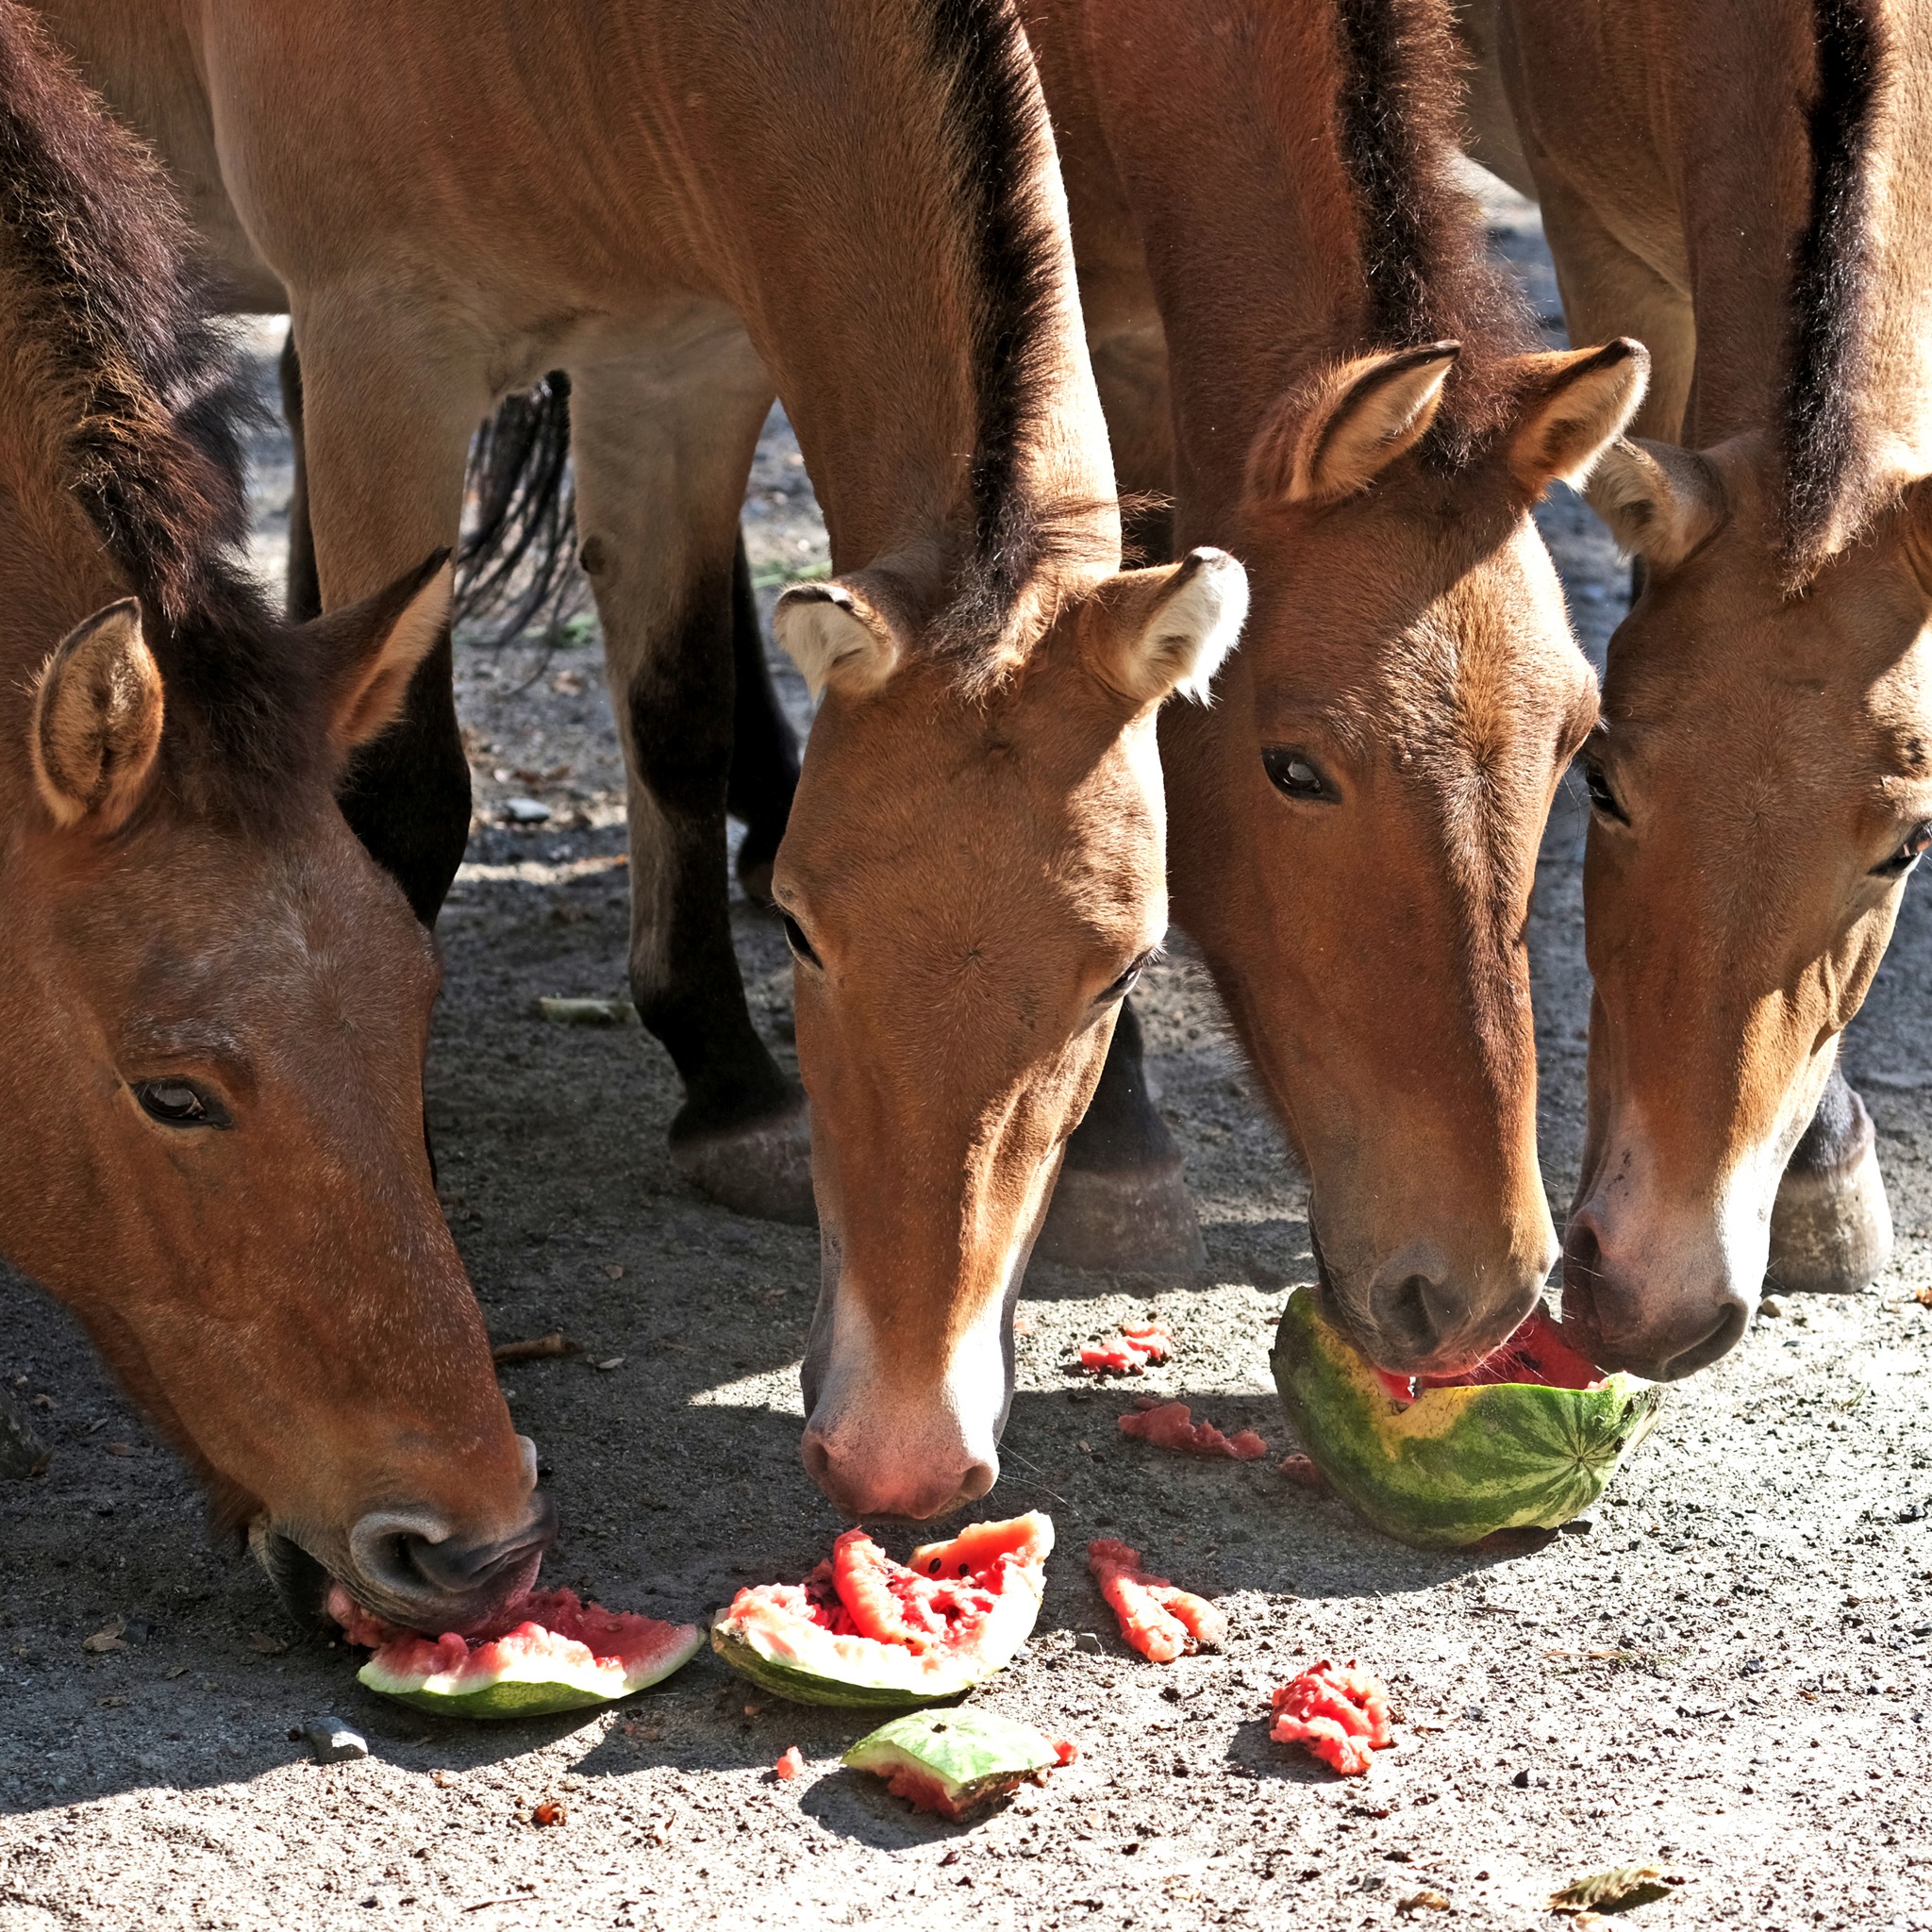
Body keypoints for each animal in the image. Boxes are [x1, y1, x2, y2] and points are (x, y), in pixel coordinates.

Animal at [37, 0, 1243, 1514]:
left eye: (1125, 974)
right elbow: (409, 800)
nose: (902, 1450)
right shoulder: (390, 342)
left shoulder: (676, 371)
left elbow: (679, 713)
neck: (604, 43)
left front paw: (727, 1084)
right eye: (802, 929)